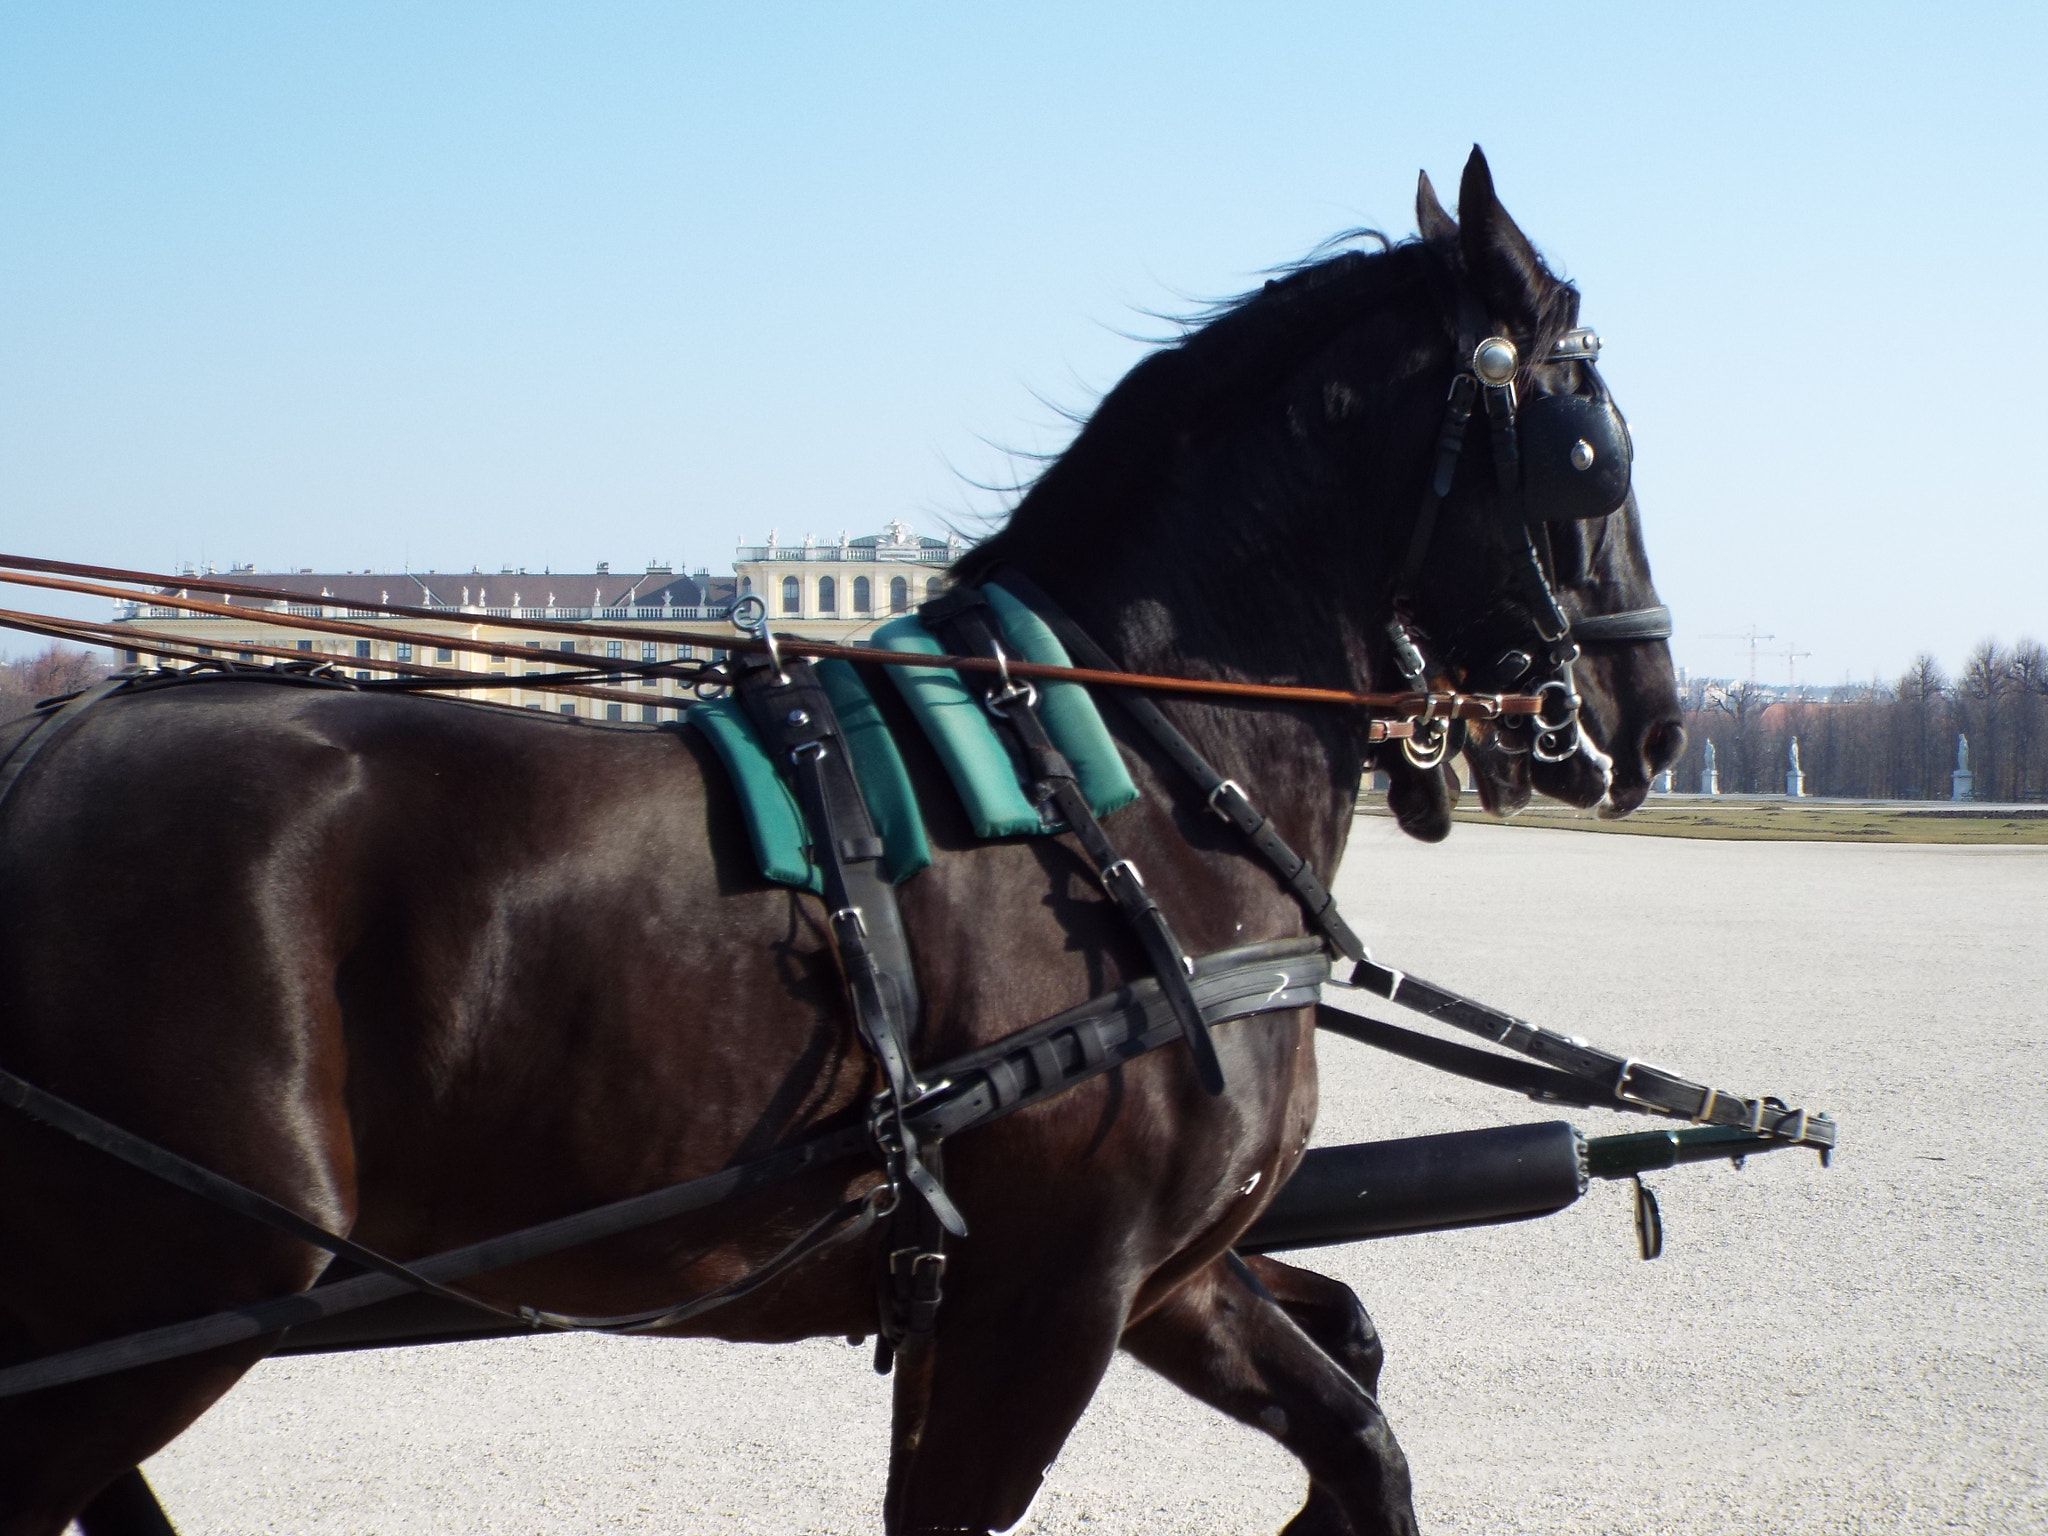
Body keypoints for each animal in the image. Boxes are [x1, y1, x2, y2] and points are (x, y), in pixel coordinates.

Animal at [0, 147, 1682, 1536]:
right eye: (1595, 453)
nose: (1653, 720)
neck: (1129, 780)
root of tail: (44, 743)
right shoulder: (1046, 1304)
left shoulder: (1160, 1279)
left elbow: (1362, 1427)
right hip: (184, 1287)